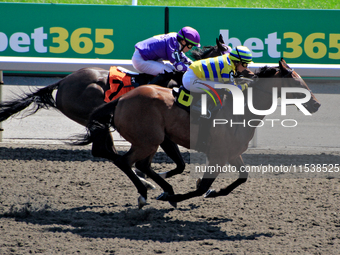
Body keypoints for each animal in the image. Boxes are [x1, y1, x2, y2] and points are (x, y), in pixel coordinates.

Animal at [74, 58, 322, 209]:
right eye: (297, 82)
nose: (316, 104)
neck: (241, 110)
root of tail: (122, 99)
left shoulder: (232, 153)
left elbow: (242, 177)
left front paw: (212, 192)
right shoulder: (218, 155)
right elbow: (202, 185)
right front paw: (182, 196)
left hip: (153, 140)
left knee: (140, 164)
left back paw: (161, 187)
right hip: (148, 141)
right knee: (125, 162)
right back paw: (147, 192)